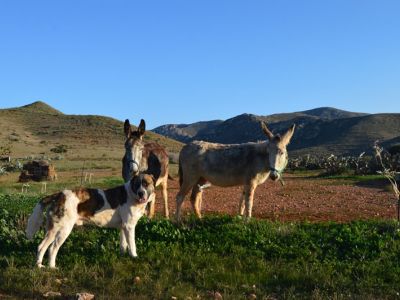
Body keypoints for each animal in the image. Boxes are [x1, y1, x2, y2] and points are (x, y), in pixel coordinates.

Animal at [24, 172, 153, 268]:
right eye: (137, 184)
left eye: (146, 184)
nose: (141, 193)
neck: (132, 194)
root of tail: (58, 195)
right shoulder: (129, 226)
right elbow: (132, 244)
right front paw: (134, 257)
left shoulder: (123, 227)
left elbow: (124, 244)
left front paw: (122, 256)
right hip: (62, 230)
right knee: (51, 248)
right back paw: (51, 267)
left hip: (52, 230)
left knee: (42, 247)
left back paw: (39, 265)